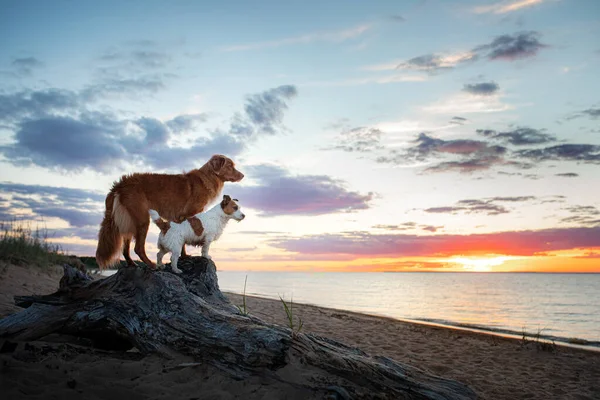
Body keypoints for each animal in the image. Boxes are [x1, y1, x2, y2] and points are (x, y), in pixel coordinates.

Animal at [95, 155, 243, 270]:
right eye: (230, 165)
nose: (243, 175)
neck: (207, 178)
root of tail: (120, 184)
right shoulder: (187, 215)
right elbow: (184, 241)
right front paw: (184, 256)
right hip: (142, 219)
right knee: (138, 248)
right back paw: (153, 265)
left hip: (129, 221)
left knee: (126, 249)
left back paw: (132, 264)